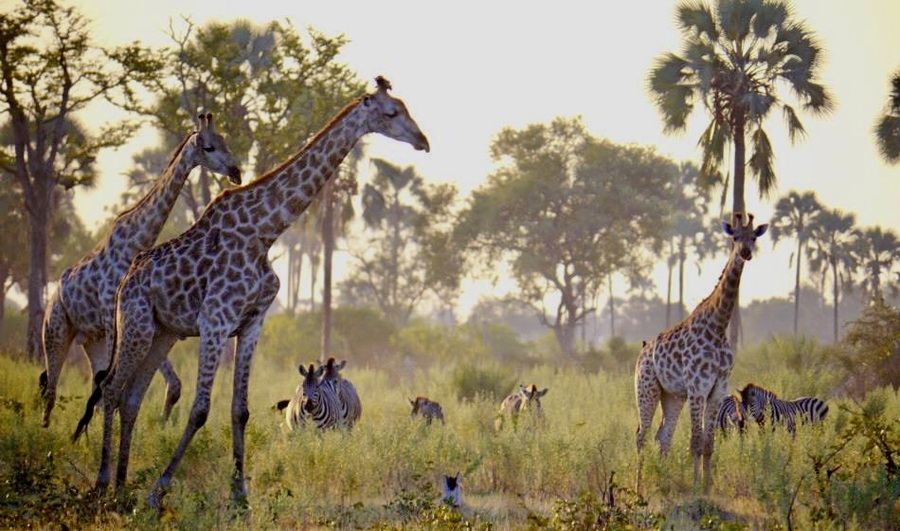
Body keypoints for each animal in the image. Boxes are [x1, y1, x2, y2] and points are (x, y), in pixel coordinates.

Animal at [40, 114, 241, 430]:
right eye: (208, 147)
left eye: (225, 142)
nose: (237, 171)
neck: (137, 241)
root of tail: (54, 295)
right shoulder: (114, 317)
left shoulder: (138, 321)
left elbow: (173, 386)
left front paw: (160, 426)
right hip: (55, 331)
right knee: (51, 390)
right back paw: (46, 430)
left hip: (91, 340)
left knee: (91, 384)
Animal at [74, 76, 428, 512]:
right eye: (391, 112)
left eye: (405, 106)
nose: (423, 141)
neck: (264, 232)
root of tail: (126, 278)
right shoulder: (215, 321)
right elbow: (200, 409)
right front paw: (159, 490)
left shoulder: (251, 324)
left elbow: (239, 410)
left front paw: (240, 495)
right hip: (136, 324)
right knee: (110, 388)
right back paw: (103, 484)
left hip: (163, 333)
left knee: (131, 396)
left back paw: (123, 486)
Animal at [632, 213, 768, 494]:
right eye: (734, 236)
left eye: (753, 237)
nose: (746, 252)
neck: (718, 325)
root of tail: (642, 351)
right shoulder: (698, 387)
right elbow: (695, 441)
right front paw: (695, 488)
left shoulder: (717, 388)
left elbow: (708, 443)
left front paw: (706, 487)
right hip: (647, 388)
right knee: (641, 435)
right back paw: (638, 489)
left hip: (672, 395)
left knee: (663, 435)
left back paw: (663, 483)